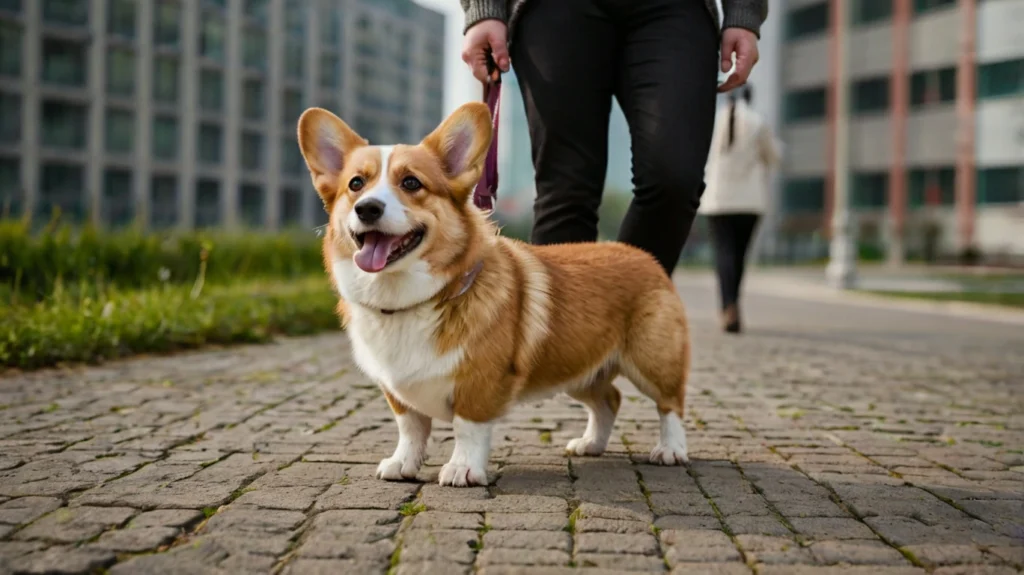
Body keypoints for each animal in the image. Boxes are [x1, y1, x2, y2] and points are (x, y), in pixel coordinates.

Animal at [299, 101, 696, 482]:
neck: (411, 299)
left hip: (652, 360)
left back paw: (671, 450)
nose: (367, 208)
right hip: (577, 367)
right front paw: (402, 464)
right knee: (609, 399)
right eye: (355, 184)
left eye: (411, 183)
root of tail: (643, 255)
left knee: (671, 404)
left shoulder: (479, 382)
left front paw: (463, 469)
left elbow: (468, 428)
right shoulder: (396, 391)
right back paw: (591, 444)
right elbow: (410, 429)